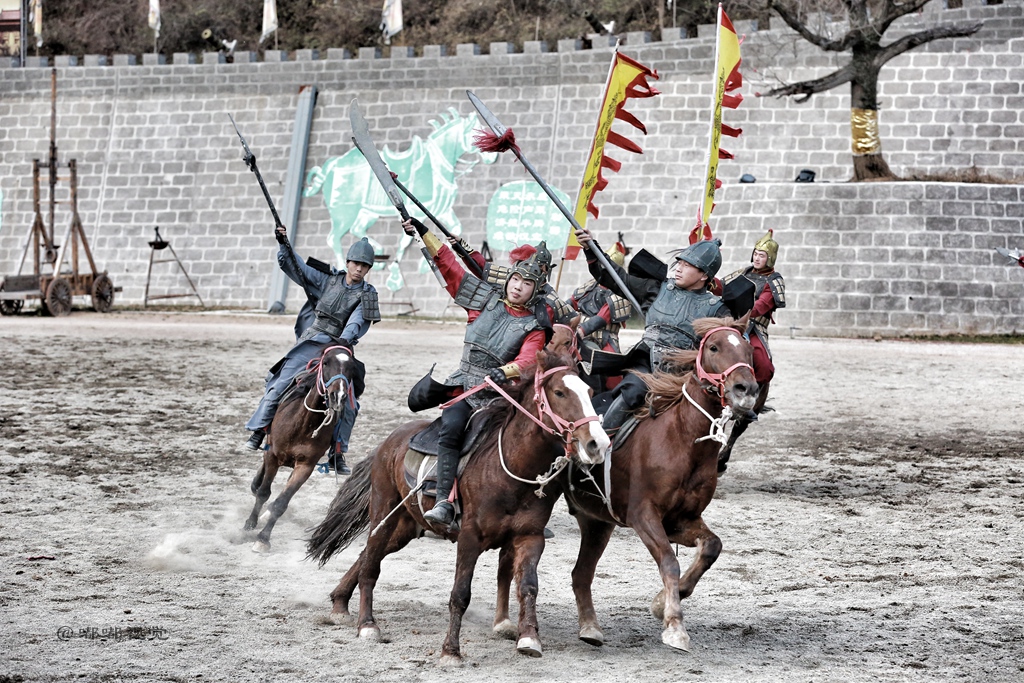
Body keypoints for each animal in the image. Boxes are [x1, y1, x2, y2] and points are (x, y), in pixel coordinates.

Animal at [243, 348, 356, 557]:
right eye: (326, 363)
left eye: (352, 367)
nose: (338, 396)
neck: (304, 423)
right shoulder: (273, 456)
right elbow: (263, 493)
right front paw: (250, 524)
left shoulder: (306, 466)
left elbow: (281, 503)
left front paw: (263, 539)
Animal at [303, 348, 606, 663]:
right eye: (559, 392)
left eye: (589, 392)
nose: (597, 443)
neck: (509, 467)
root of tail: (389, 442)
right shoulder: (469, 538)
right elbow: (460, 594)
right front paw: (451, 650)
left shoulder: (530, 537)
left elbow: (528, 586)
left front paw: (529, 638)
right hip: (383, 512)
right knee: (370, 566)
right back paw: (367, 625)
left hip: (405, 527)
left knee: (366, 557)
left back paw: (339, 604)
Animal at [507, 317, 757, 655]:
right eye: (715, 347)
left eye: (747, 349)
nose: (746, 390)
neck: (682, 439)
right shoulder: (644, 517)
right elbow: (669, 562)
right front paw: (674, 625)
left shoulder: (681, 520)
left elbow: (711, 548)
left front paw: (663, 602)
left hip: (597, 521)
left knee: (581, 574)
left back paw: (589, 628)